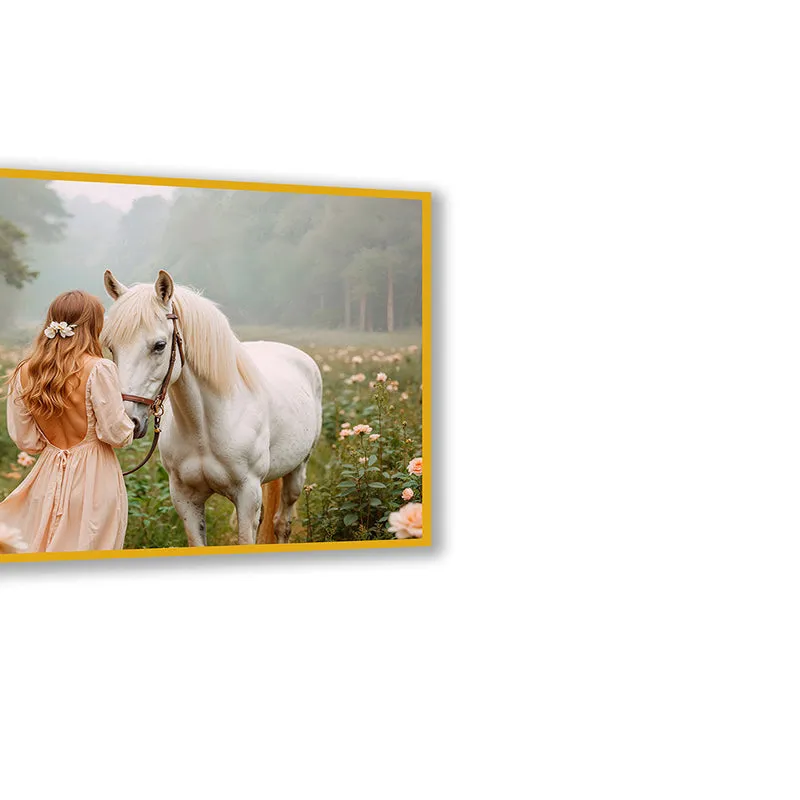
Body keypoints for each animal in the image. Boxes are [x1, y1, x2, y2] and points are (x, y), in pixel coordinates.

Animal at [102, 269, 323, 547]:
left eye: (160, 345)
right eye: (111, 347)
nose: (124, 422)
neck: (204, 428)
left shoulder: (247, 496)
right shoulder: (185, 499)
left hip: (298, 469)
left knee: (282, 524)